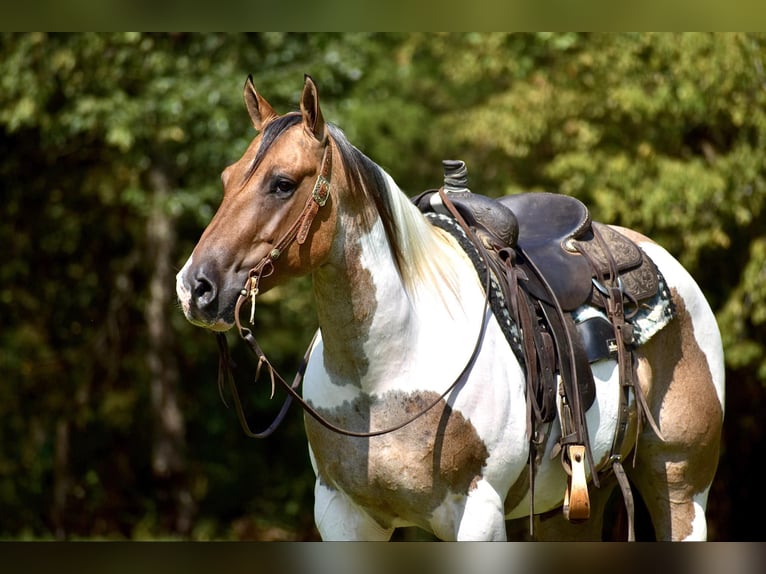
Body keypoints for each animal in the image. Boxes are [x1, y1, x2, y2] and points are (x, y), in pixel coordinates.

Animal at [177, 74, 728, 544]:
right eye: (227, 179)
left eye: (283, 183)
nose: (195, 287)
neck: (386, 375)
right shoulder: (343, 517)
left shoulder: (477, 516)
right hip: (571, 508)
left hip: (681, 487)